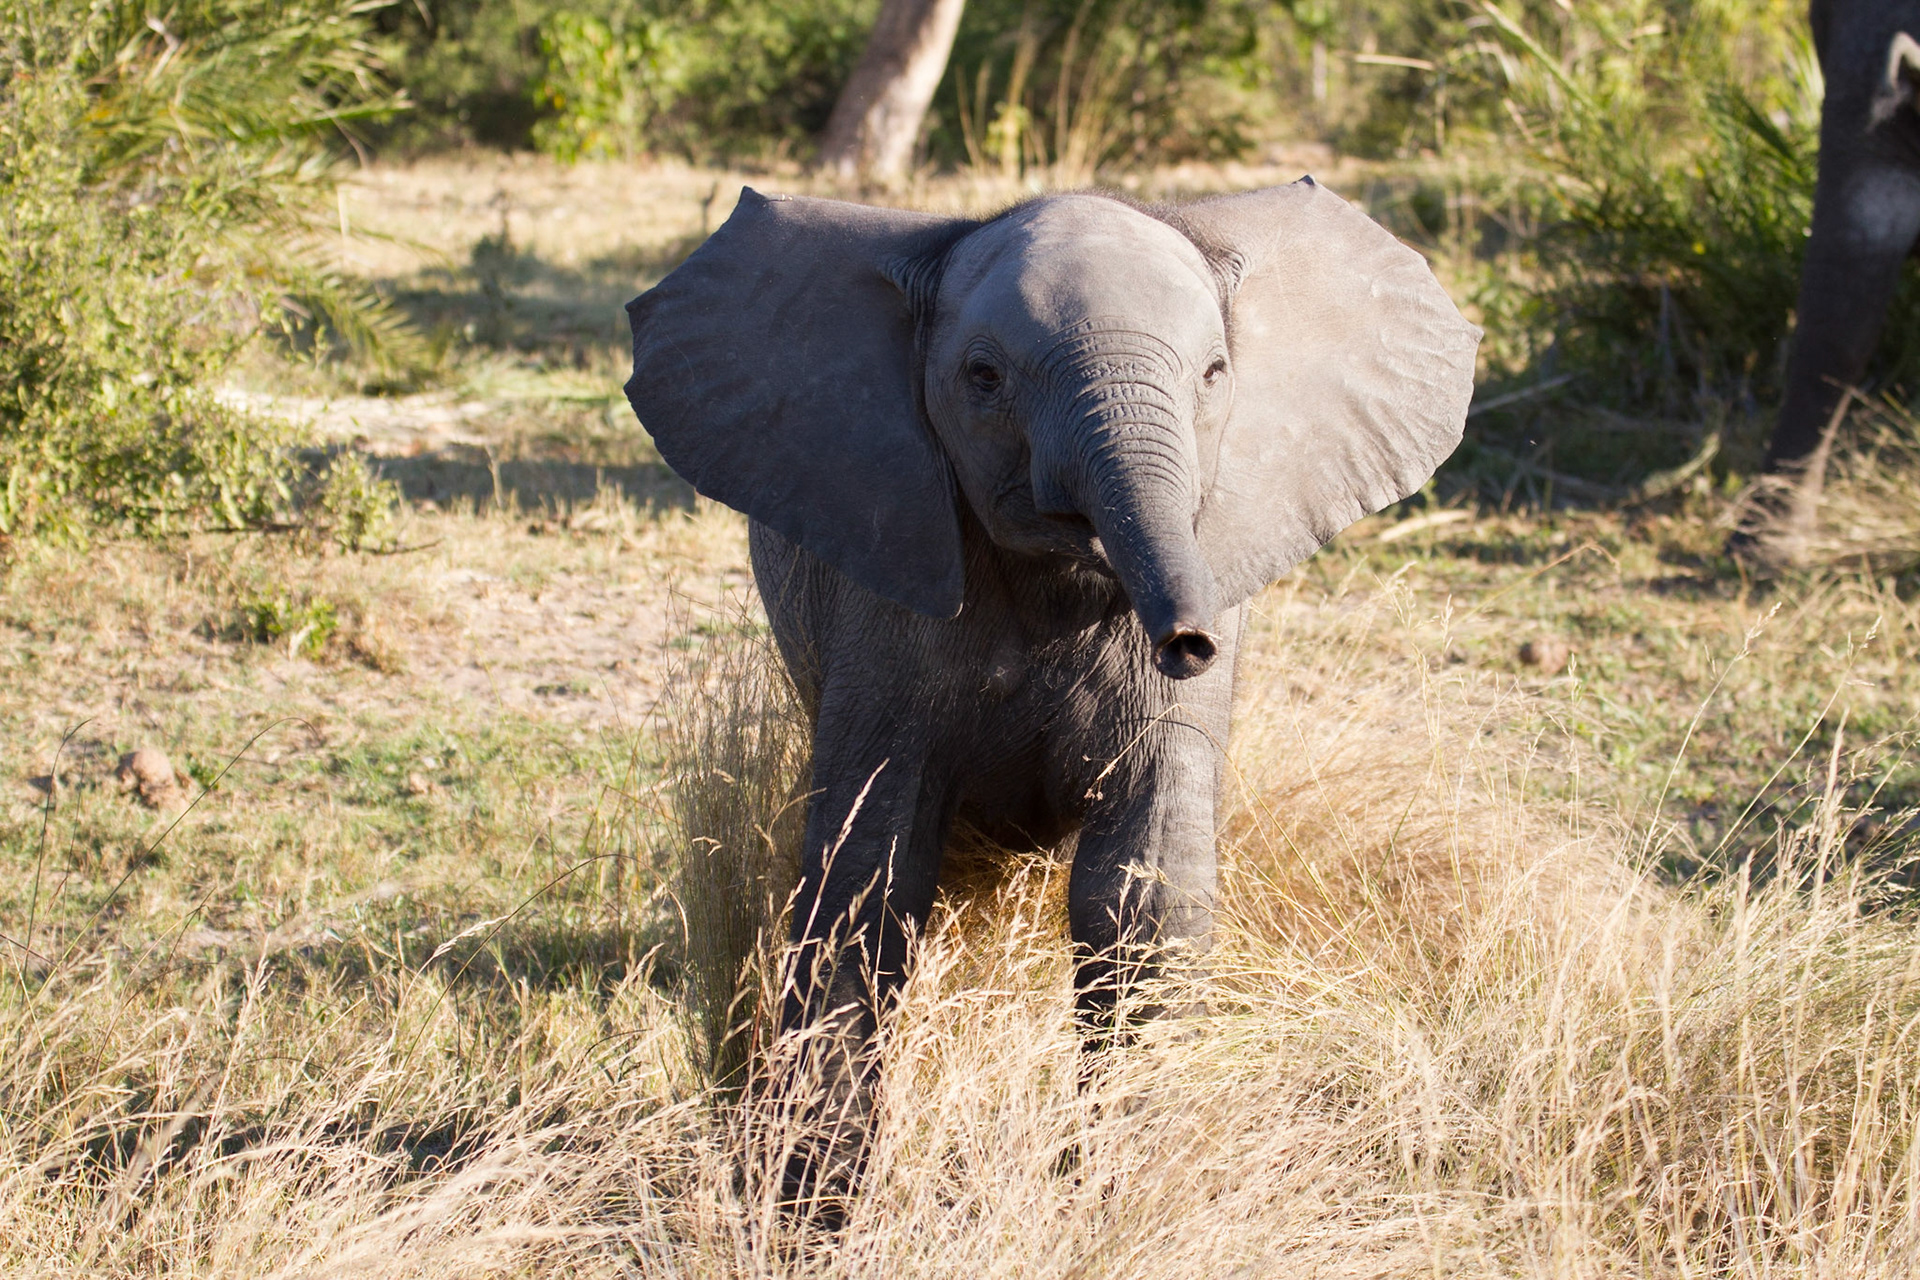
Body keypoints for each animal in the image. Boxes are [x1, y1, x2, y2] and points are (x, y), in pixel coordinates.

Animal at [624, 179, 1479, 1209]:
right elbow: (865, 879)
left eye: (1215, 374)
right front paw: (815, 1203)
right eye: (984, 377)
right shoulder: (886, 579)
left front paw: (1121, 1189)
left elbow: (1143, 891)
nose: (1187, 641)